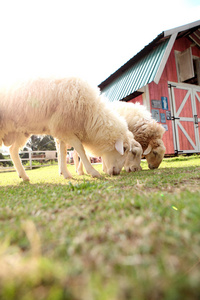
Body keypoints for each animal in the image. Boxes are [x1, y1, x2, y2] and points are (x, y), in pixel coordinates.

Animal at [0, 77, 142, 180]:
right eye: (125, 149)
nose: (117, 173)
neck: (90, 114)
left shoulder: (62, 129)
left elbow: (62, 152)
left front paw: (65, 173)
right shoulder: (64, 128)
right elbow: (80, 148)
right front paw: (93, 172)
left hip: (20, 132)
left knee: (12, 150)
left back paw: (24, 176)